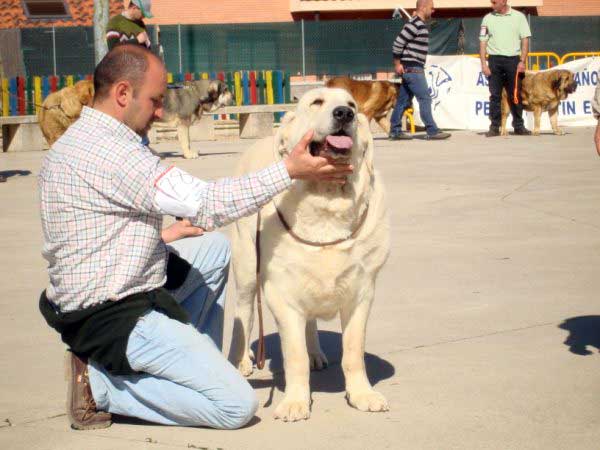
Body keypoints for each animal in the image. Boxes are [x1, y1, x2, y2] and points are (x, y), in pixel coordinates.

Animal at [227, 88, 392, 422]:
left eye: (352, 104)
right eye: (316, 102)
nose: (344, 114)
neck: (326, 198)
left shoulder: (362, 291)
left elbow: (353, 351)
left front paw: (362, 394)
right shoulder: (281, 293)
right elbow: (294, 355)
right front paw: (295, 402)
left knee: (311, 323)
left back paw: (316, 352)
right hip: (247, 269)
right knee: (244, 312)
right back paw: (242, 360)